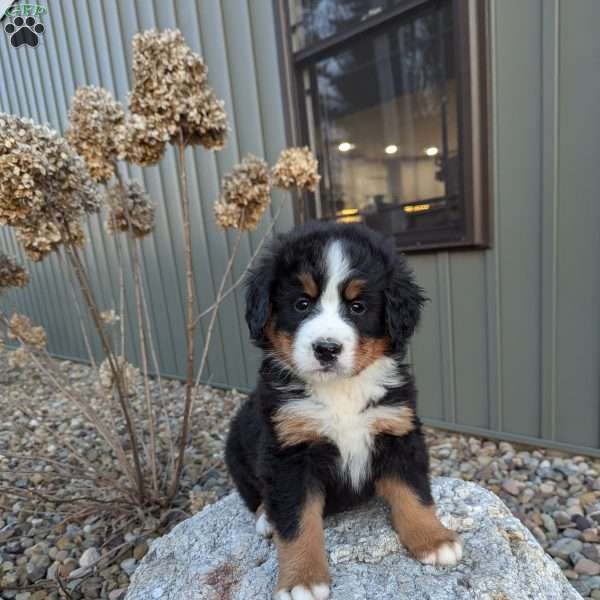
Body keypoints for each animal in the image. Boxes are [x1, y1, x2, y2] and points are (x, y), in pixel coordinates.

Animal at [226, 223, 464, 600]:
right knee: (258, 497)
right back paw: (266, 517)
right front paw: (302, 579)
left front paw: (434, 539)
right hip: (236, 451)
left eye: (357, 306)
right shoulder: (289, 453)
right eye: (301, 304)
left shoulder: (398, 431)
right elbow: (296, 522)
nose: (326, 348)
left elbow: (414, 493)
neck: (340, 390)